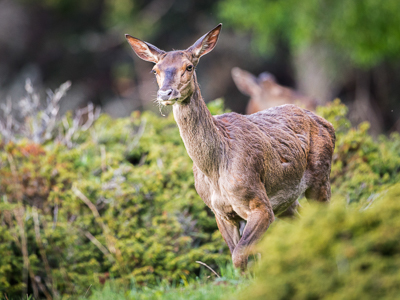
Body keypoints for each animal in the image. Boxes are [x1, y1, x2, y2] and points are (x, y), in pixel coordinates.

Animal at [126, 23, 336, 270]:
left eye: (189, 66)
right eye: (155, 70)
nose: (166, 93)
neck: (215, 169)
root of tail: (327, 123)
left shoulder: (260, 203)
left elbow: (239, 255)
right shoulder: (220, 212)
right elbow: (237, 257)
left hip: (320, 176)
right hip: (288, 201)